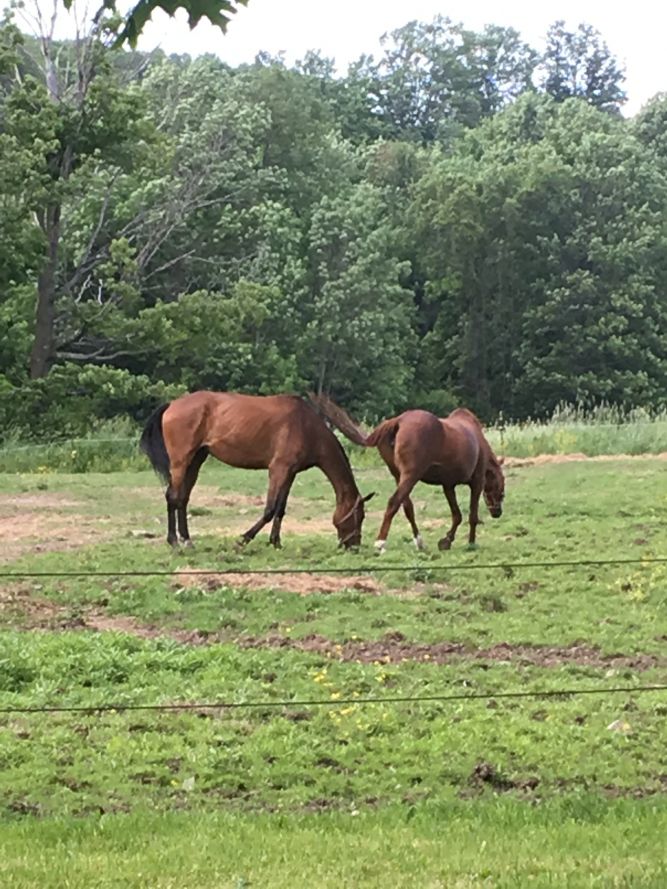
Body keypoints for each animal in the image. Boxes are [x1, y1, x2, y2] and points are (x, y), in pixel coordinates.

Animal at [141, 392, 376, 552]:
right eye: (359, 516)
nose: (353, 546)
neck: (306, 427)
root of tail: (171, 404)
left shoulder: (290, 473)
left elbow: (281, 508)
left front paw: (276, 542)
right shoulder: (278, 469)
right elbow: (270, 509)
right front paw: (243, 539)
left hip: (196, 461)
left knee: (182, 498)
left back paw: (187, 540)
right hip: (181, 462)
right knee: (173, 496)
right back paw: (173, 541)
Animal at [310, 394, 504, 548]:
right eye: (502, 489)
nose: (497, 513)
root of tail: (398, 421)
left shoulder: (448, 485)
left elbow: (457, 515)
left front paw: (446, 541)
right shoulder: (476, 482)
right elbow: (472, 515)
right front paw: (471, 543)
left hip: (399, 475)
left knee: (407, 506)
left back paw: (419, 542)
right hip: (411, 476)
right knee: (394, 502)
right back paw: (380, 543)